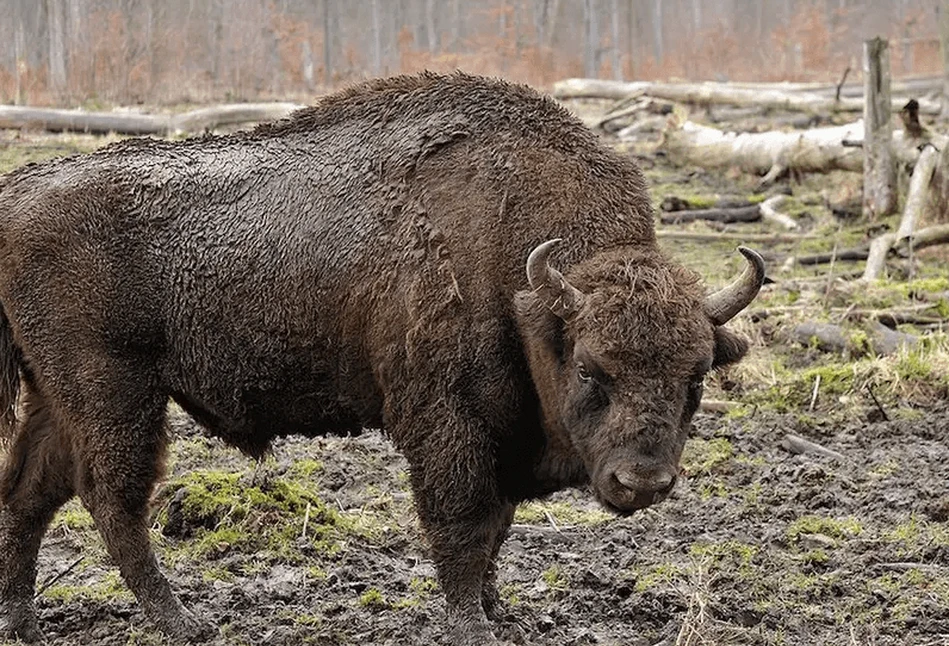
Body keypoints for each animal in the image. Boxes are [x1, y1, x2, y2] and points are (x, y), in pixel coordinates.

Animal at [0, 73, 764, 644]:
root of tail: (20, 191)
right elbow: (464, 522)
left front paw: (500, 614)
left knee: (30, 492)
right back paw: (183, 621)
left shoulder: (502, 435)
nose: (643, 482)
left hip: (57, 394)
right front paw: (470, 626)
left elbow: (497, 527)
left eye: (698, 376)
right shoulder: (449, 424)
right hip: (114, 391)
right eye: (589, 368)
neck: (523, 283)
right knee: (110, 497)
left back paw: (25, 622)